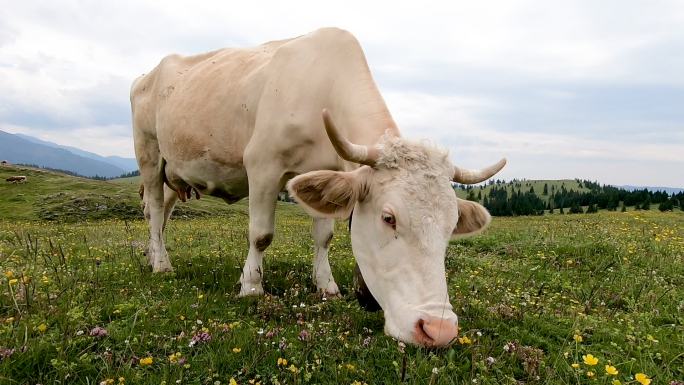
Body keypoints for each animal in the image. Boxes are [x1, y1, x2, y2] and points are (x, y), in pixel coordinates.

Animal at [131, 27, 504, 344]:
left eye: (451, 225)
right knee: (154, 210)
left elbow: (324, 237)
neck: (322, 88)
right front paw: (251, 286)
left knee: (161, 214)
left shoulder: (325, 172)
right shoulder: (263, 164)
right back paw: (162, 265)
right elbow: (261, 234)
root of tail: (148, 74)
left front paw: (326, 285)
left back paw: (153, 255)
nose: (438, 330)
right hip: (149, 153)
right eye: (388, 218)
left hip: (174, 170)